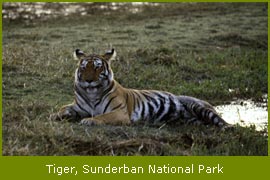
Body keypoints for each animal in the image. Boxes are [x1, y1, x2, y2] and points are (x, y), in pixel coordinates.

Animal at [49, 47, 229, 127]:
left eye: (98, 68)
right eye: (84, 67)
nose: (88, 80)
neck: (92, 93)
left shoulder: (120, 112)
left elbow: (102, 116)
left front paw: (89, 120)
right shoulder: (78, 106)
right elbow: (63, 108)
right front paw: (54, 115)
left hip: (200, 107)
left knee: (221, 122)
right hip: (192, 119)